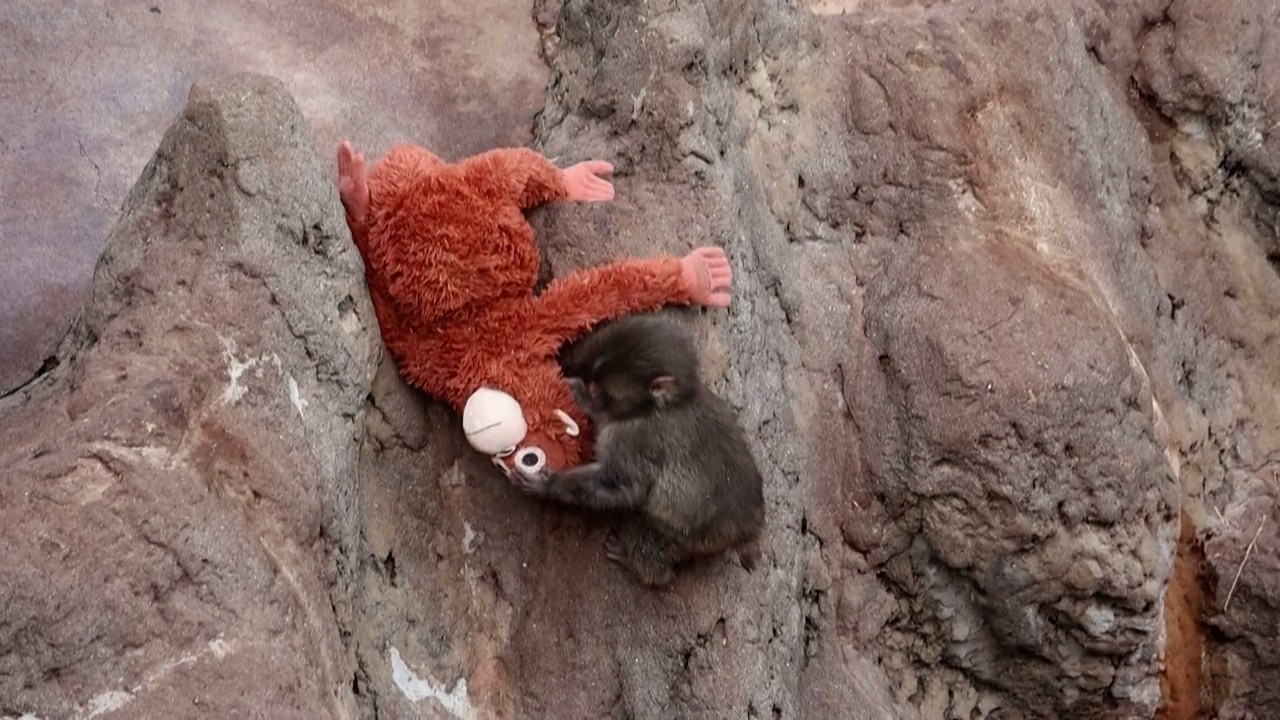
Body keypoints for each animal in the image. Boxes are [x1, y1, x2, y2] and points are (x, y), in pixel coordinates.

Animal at [513, 312, 766, 586]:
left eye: (602, 392)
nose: (589, 392)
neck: (658, 406)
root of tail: (750, 525)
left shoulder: (631, 440)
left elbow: (628, 489)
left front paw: (549, 484)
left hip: (697, 536)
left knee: (650, 528)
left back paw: (642, 566)